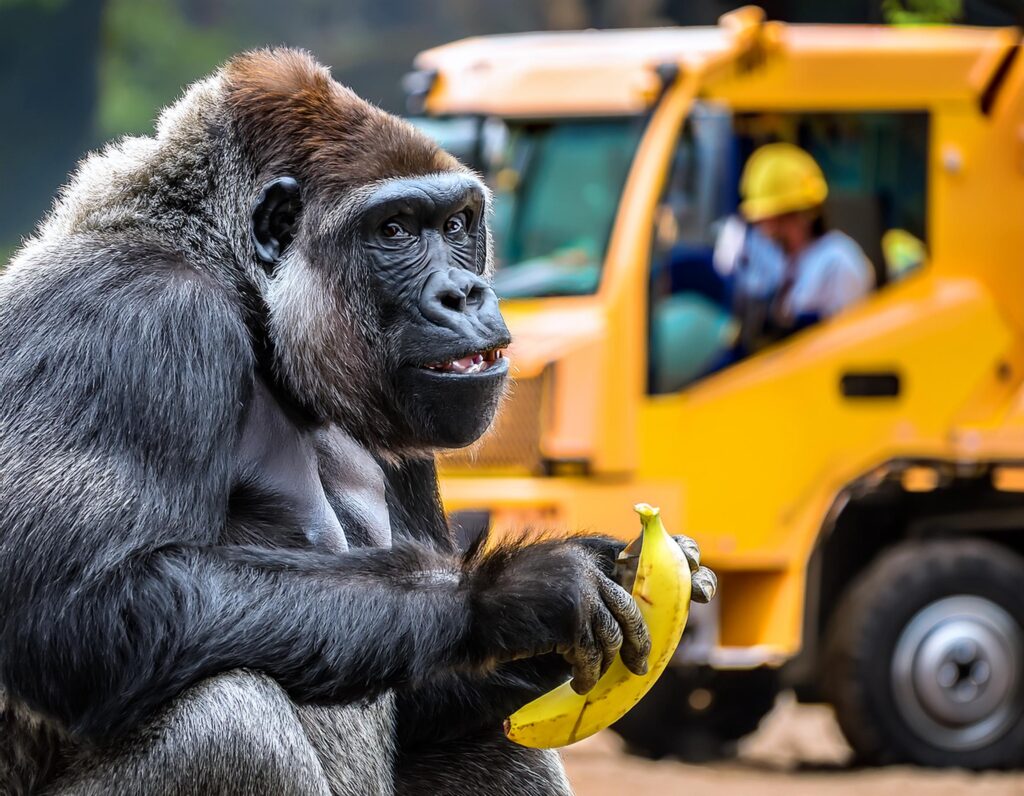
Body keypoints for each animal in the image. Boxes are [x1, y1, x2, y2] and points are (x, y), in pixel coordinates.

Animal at [0, 51, 712, 794]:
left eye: (457, 224)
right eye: (394, 229)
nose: (466, 293)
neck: (238, 284)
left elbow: (423, 692)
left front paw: (605, 586)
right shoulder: (130, 314)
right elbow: (83, 613)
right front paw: (510, 595)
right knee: (227, 717)